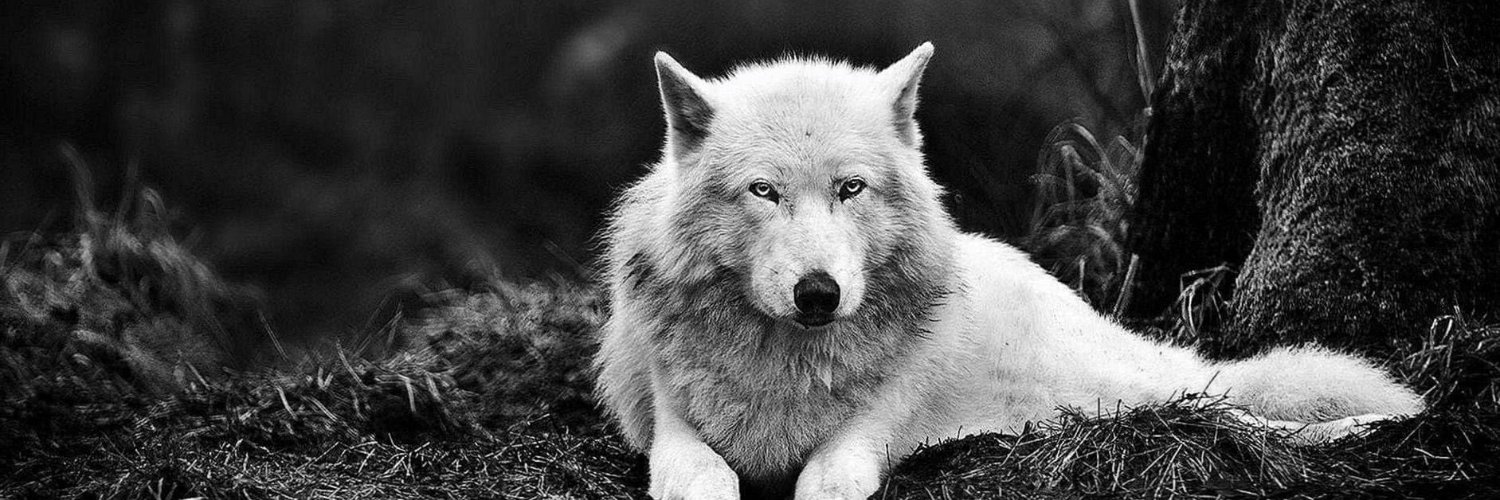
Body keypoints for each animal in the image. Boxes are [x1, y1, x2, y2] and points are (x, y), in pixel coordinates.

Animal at [595, 43, 1424, 500]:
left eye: (851, 188)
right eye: (763, 191)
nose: (818, 294)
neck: (787, 365)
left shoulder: (868, 434)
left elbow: (827, 480)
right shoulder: (672, 433)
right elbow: (707, 479)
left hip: (1112, 393)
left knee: (1228, 409)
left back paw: (1374, 423)